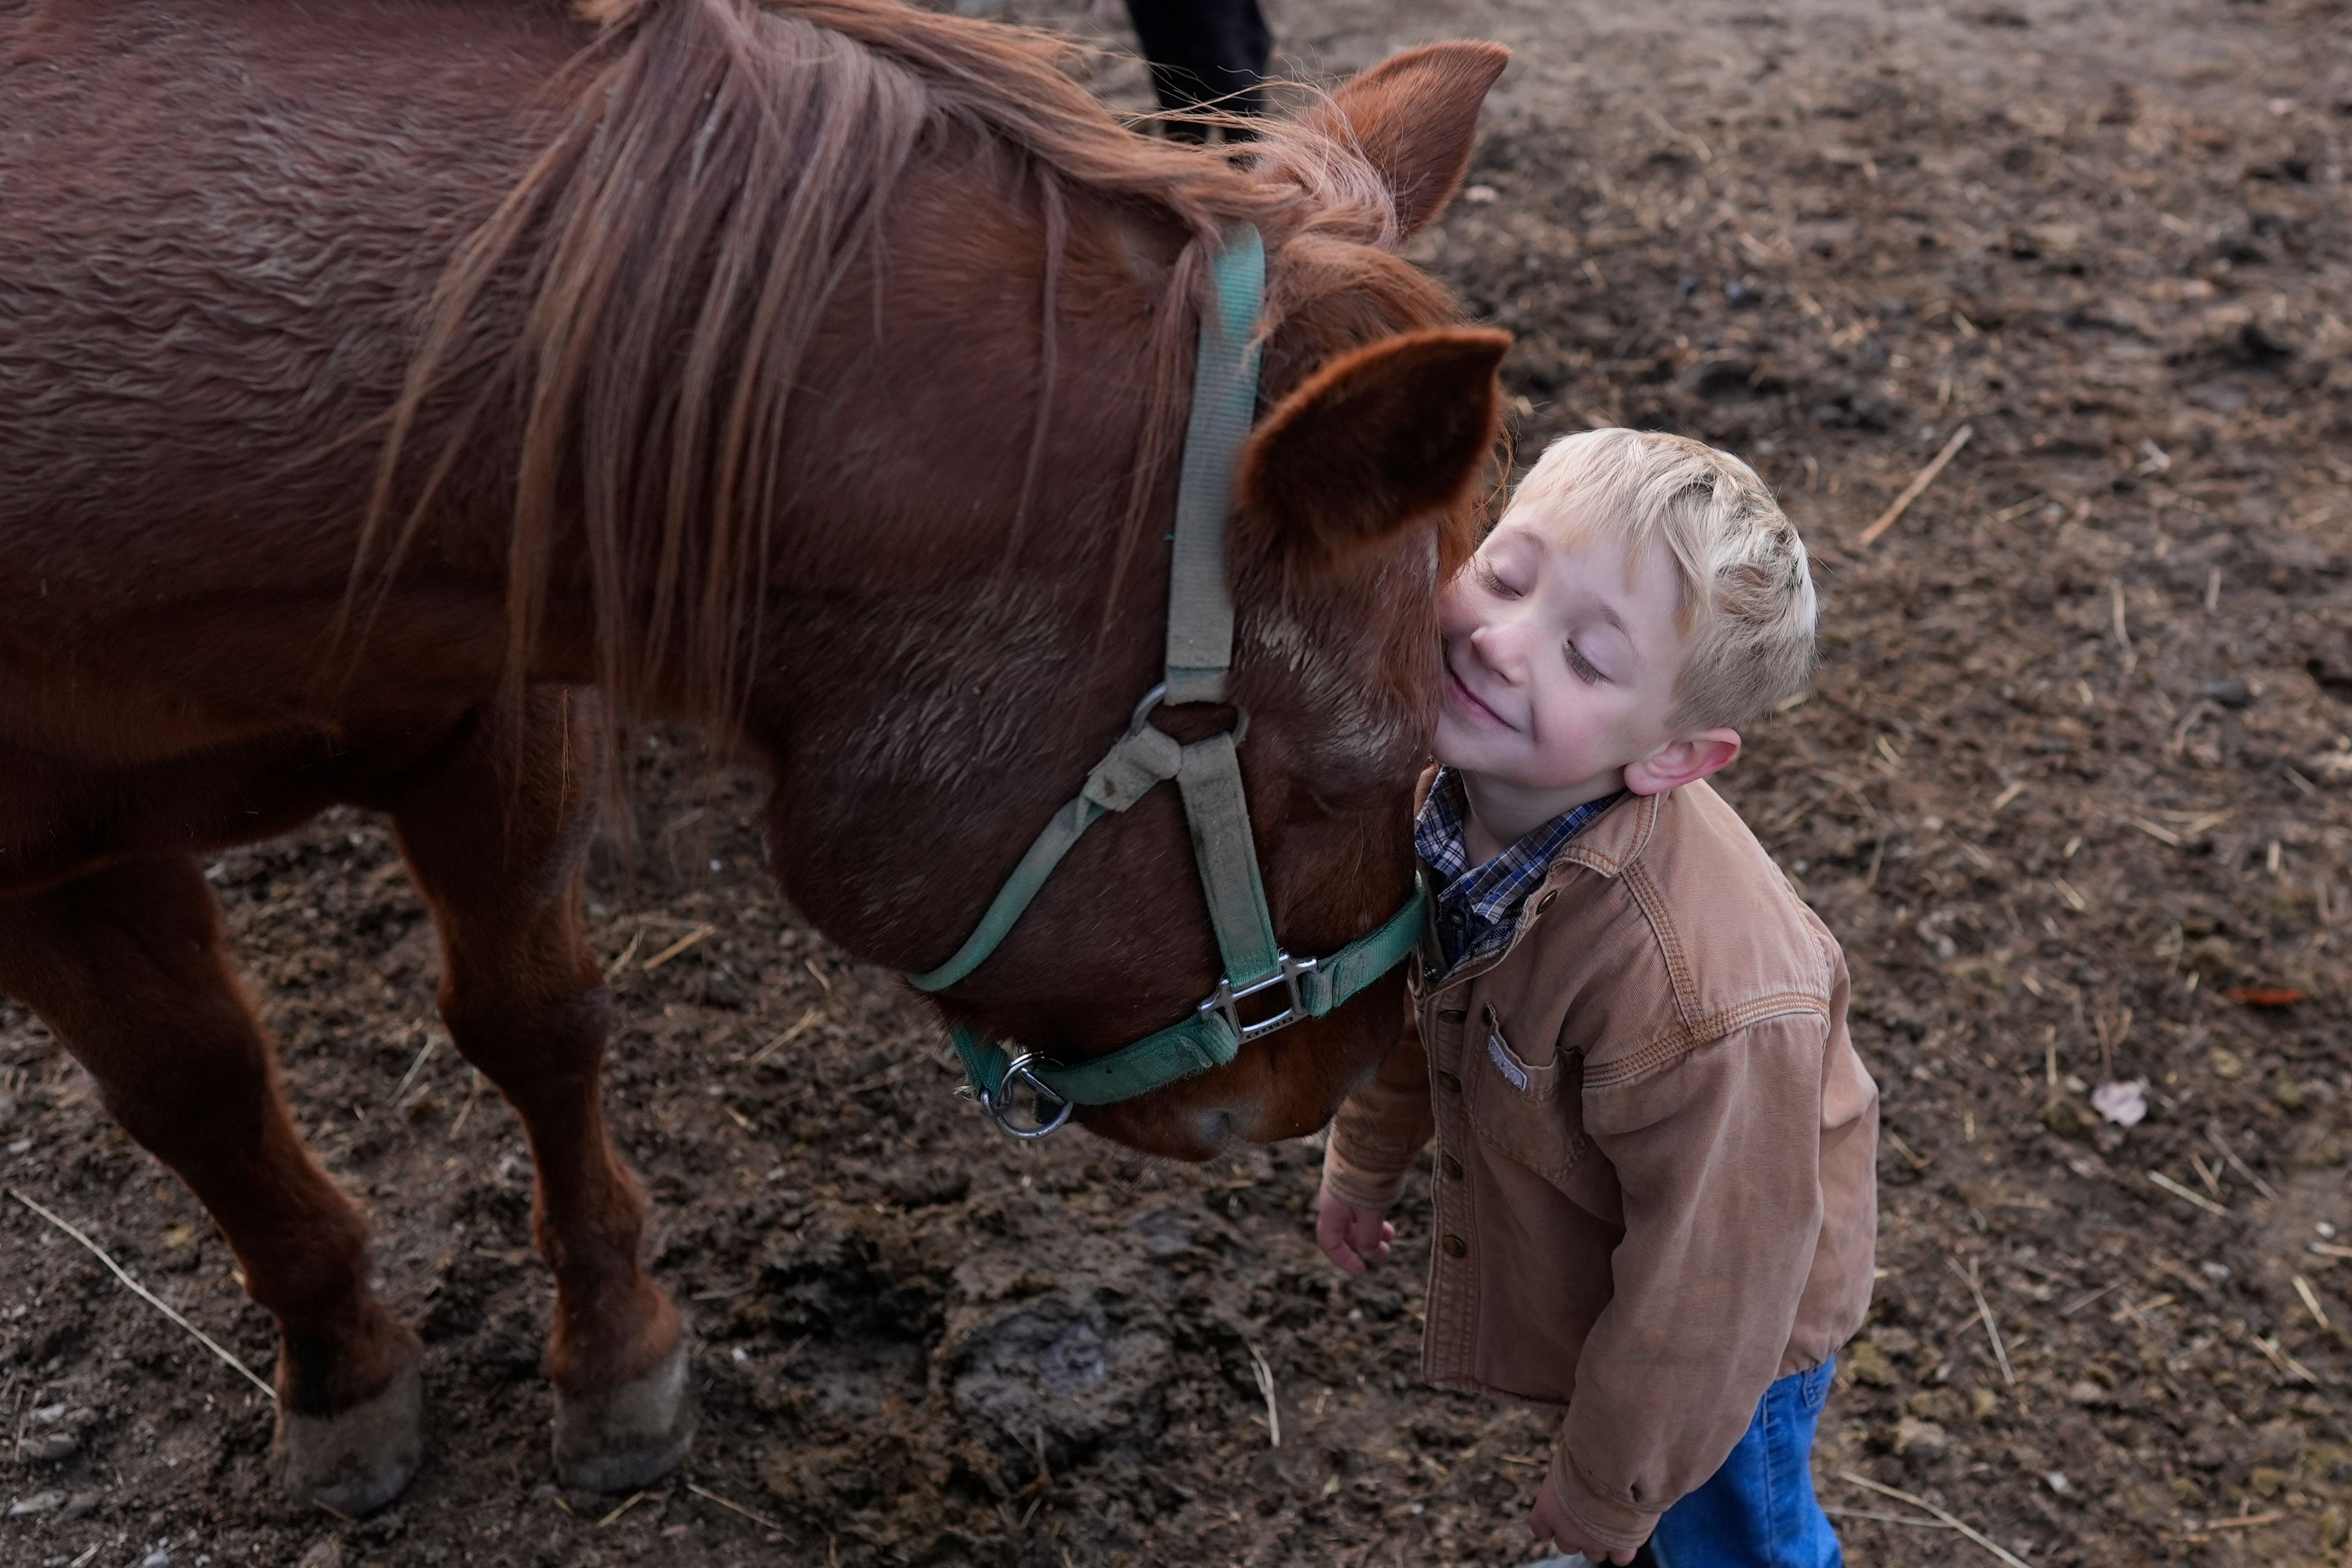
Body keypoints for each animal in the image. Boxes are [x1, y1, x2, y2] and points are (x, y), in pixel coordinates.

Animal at [0, 0, 1505, 1513]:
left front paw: (609, 1355)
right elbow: (198, 1095)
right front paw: (342, 1365)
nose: (1338, 1082)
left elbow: (532, 1020)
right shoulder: (53, 872)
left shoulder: (499, 715)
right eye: (1347, 776)